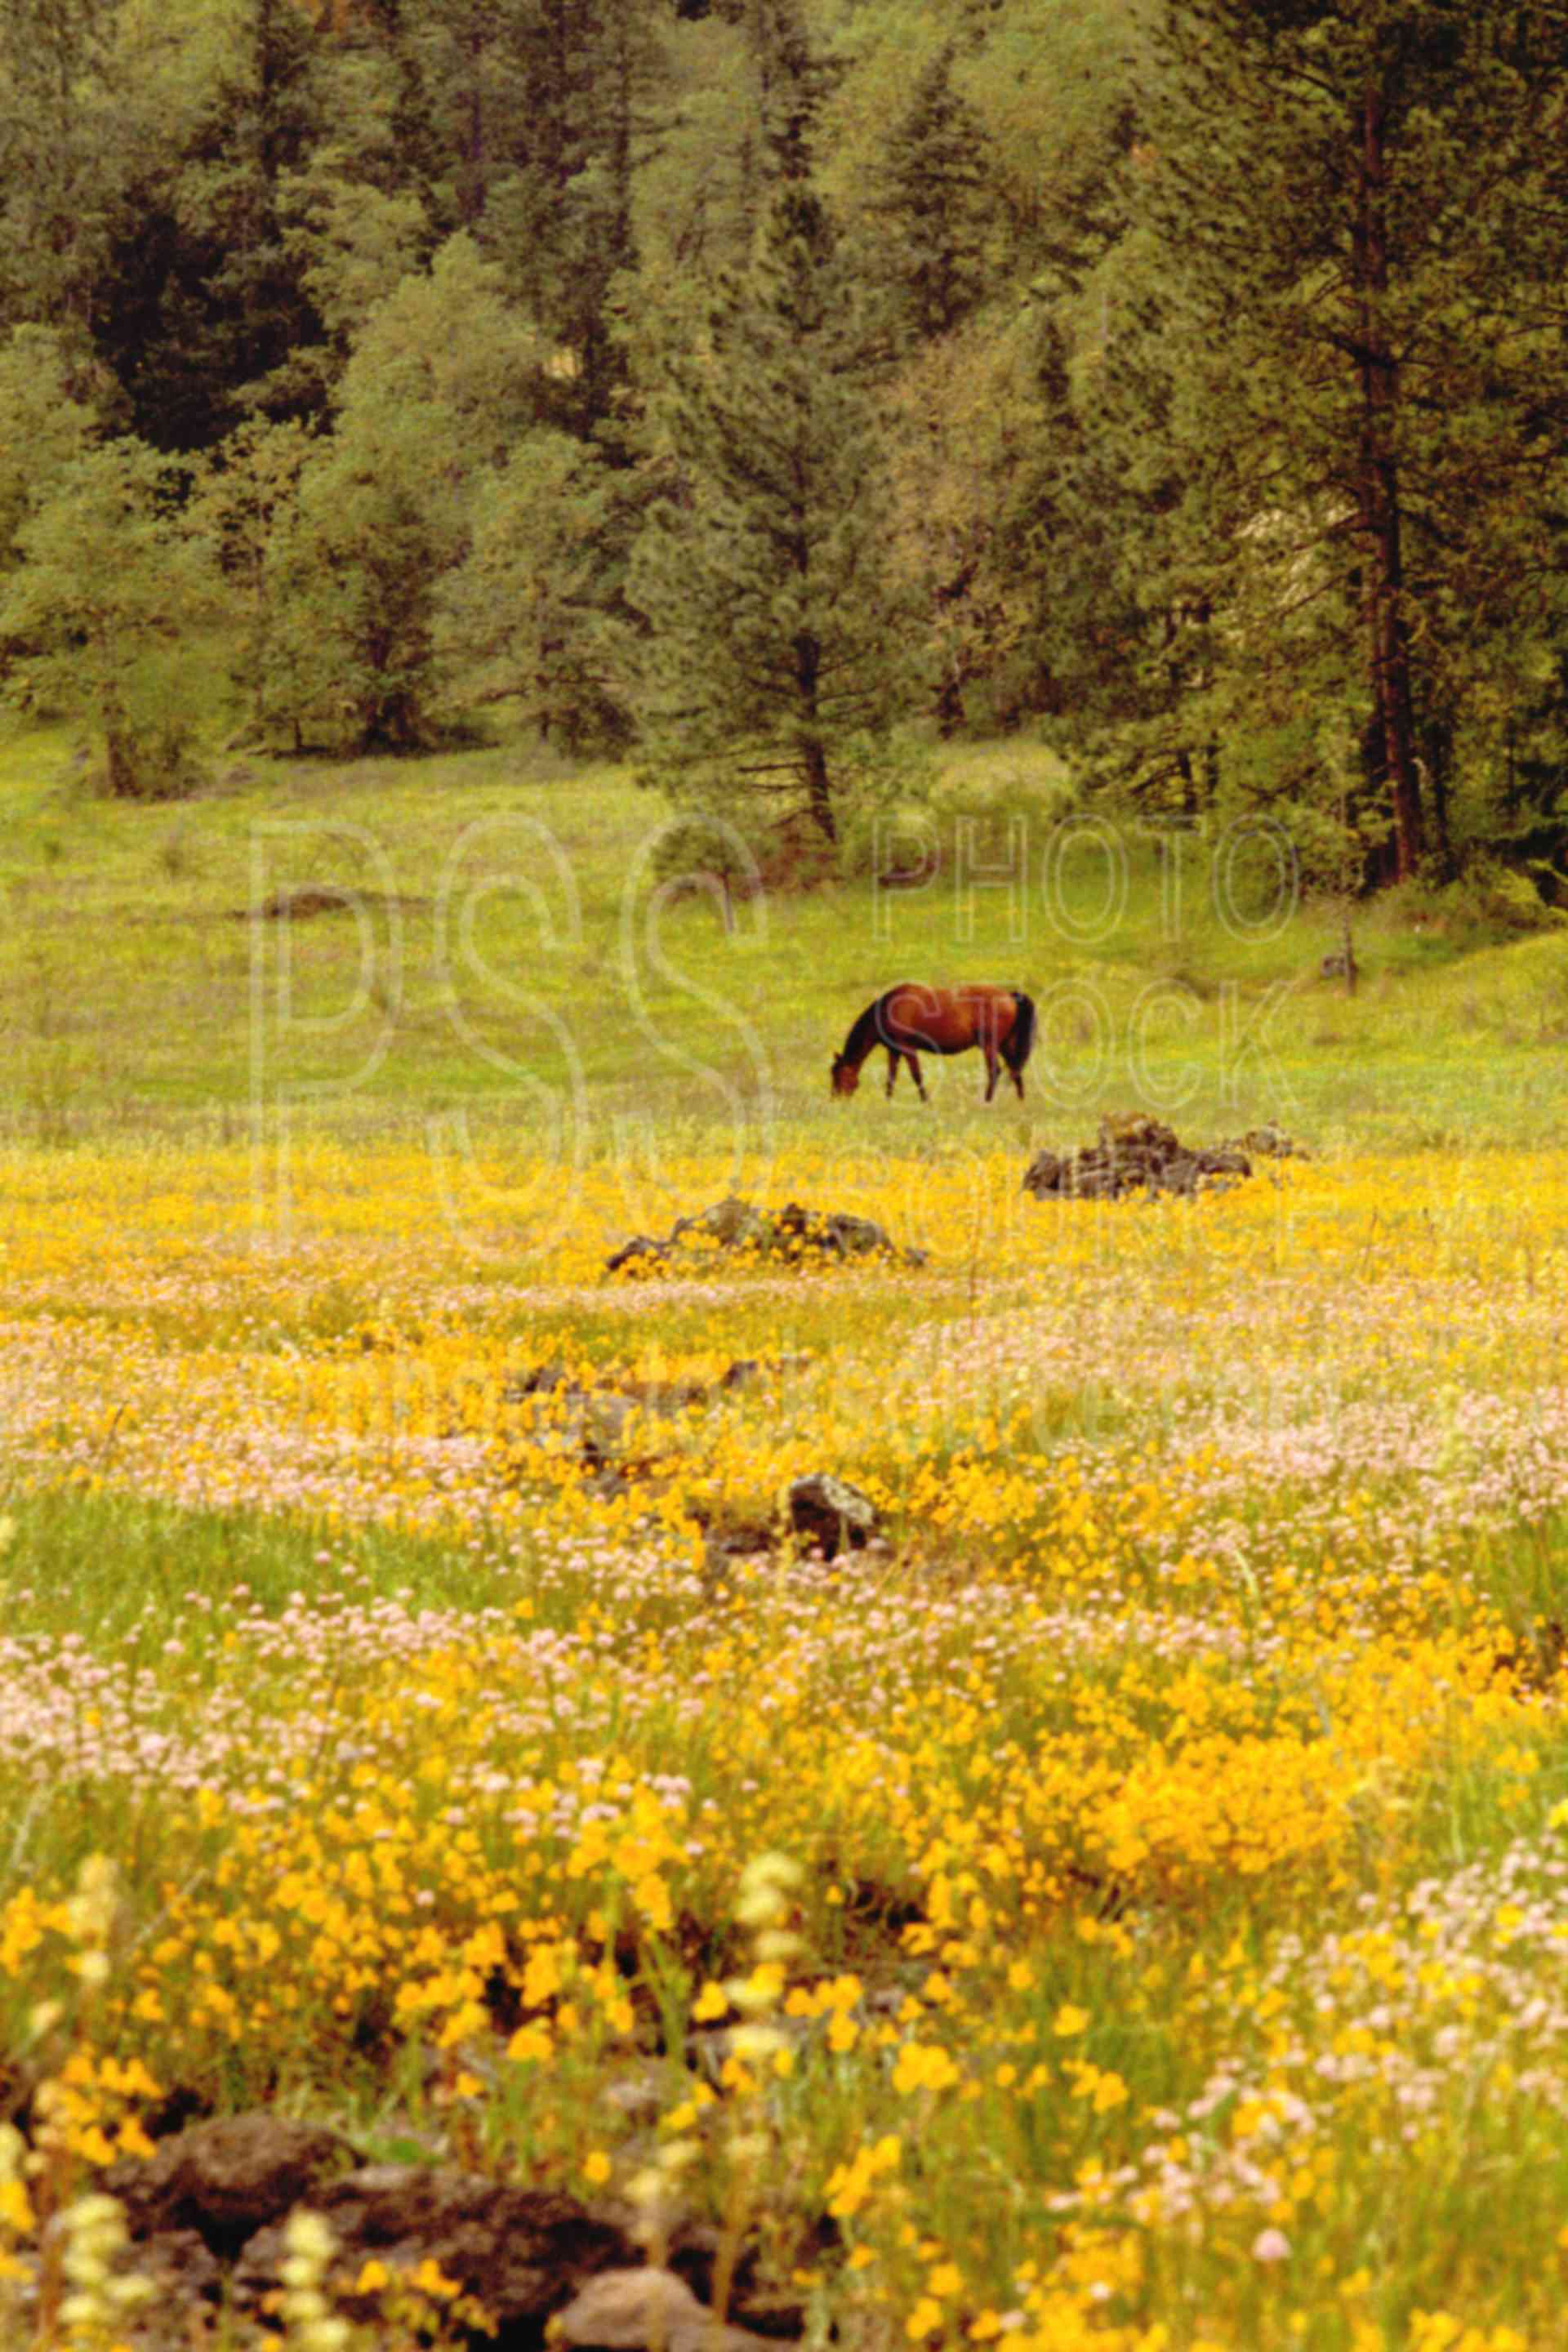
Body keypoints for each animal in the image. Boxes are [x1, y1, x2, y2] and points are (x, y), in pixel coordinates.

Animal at [827, 987, 1034, 1105]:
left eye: (838, 1075)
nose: (834, 1099)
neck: (889, 1008)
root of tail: (1010, 996)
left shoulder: (907, 1048)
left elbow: (916, 1076)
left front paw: (926, 1102)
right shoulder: (894, 1051)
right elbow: (891, 1078)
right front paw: (887, 1102)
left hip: (990, 1045)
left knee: (995, 1071)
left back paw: (987, 1101)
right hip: (1005, 1044)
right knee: (1015, 1070)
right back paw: (1020, 1102)